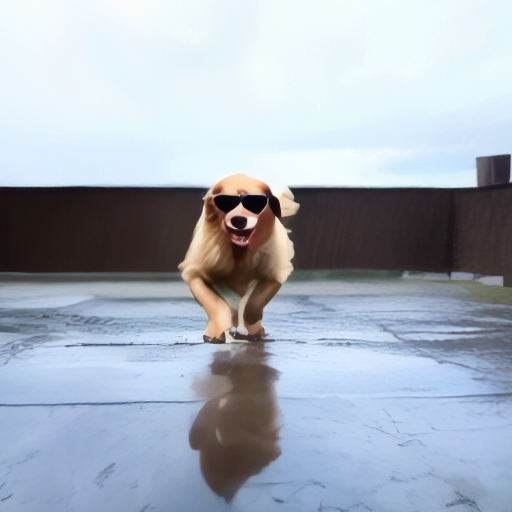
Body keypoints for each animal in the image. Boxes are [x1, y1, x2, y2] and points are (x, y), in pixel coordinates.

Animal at [181, 173, 298, 344]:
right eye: (225, 202)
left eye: (255, 202)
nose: (239, 220)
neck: (239, 253)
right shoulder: (195, 274)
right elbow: (216, 304)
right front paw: (220, 330)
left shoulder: (274, 274)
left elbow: (253, 304)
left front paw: (248, 326)